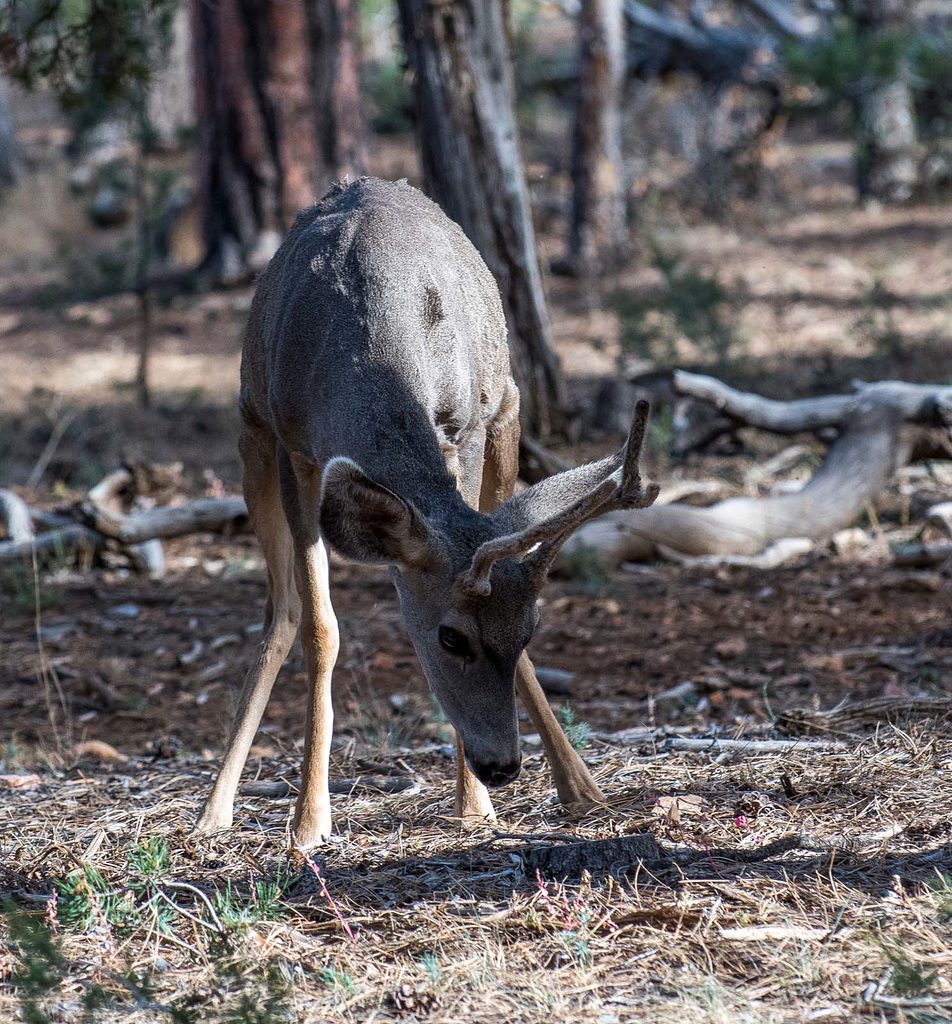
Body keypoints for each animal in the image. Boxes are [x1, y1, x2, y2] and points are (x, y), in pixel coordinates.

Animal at [192, 176, 655, 847]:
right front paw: (308, 821)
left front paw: (474, 806)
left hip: (508, 412)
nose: (504, 766)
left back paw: (580, 787)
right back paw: (214, 808)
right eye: (451, 638)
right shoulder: (293, 446)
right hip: (249, 428)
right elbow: (319, 628)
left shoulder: (467, 424)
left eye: (529, 630)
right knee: (280, 612)